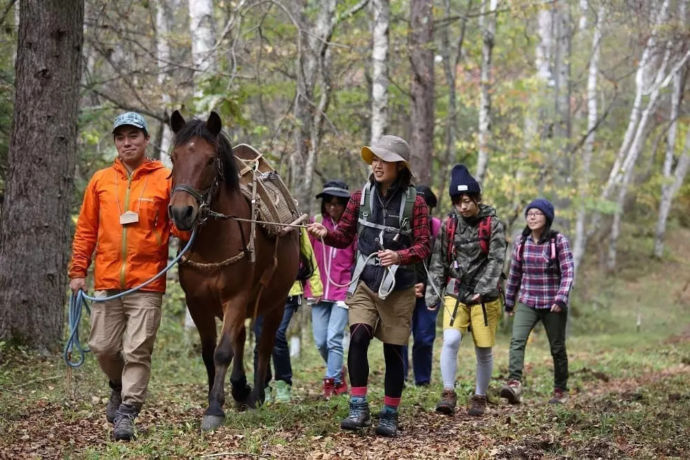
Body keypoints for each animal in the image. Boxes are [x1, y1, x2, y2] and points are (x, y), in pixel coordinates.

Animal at [169, 110, 298, 432]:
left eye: (210, 159)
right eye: (174, 157)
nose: (181, 212)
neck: (214, 241)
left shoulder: (237, 297)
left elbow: (223, 351)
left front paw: (215, 408)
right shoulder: (196, 302)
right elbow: (208, 352)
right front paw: (214, 396)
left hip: (276, 303)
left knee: (263, 347)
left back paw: (255, 396)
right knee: (241, 337)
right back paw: (240, 388)